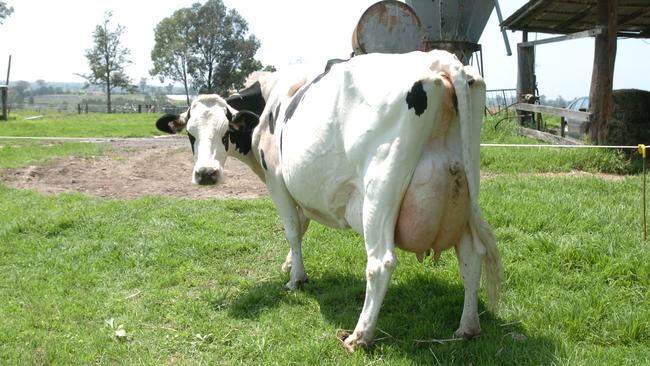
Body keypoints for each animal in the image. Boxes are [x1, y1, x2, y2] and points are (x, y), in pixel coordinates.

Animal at [156, 49, 502, 352]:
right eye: (190, 133)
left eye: (225, 130)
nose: (206, 173)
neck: (271, 97)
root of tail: (436, 59)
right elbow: (302, 224)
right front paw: (288, 264)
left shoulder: (277, 179)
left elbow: (292, 230)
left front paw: (296, 278)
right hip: (463, 191)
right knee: (471, 256)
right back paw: (467, 327)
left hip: (379, 193)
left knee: (380, 263)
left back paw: (360, 336)